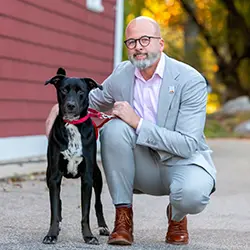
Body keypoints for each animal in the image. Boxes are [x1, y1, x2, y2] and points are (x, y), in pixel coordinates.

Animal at [42, 67, 108, 245]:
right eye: (64, 90)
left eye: (81, 91)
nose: (70, 105)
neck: (72, 125)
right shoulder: (55, 176)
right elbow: (54, 210)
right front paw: (51, 234)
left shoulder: (87, 178)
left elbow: (85, 212)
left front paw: (89, 236)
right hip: (49, 176)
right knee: (58, 202)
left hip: (97, 177)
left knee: (98, 203)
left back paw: (103, 227)